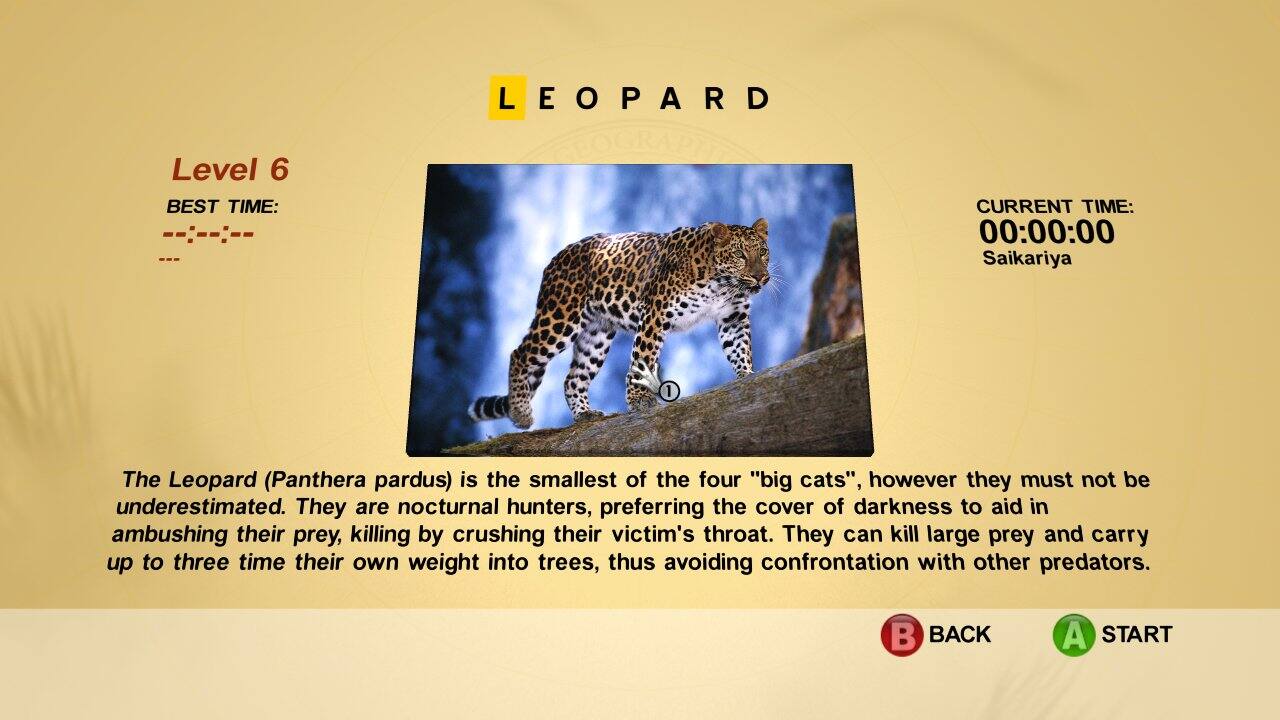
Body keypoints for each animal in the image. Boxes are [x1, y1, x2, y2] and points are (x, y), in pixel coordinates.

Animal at [468, 218, 772, 429]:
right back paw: (521, 413)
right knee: (520, 353)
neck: (721, 284)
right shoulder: (655, 313)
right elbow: (642, 357)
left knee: (573, 378)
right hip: (560, 318)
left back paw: (585, 414)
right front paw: (639, 400)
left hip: (596, 335)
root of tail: (556, 258)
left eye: (763, 252)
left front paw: (747, 375)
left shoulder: (733, 317)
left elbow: (739, 349)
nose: (761, 277)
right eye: (740, 254)